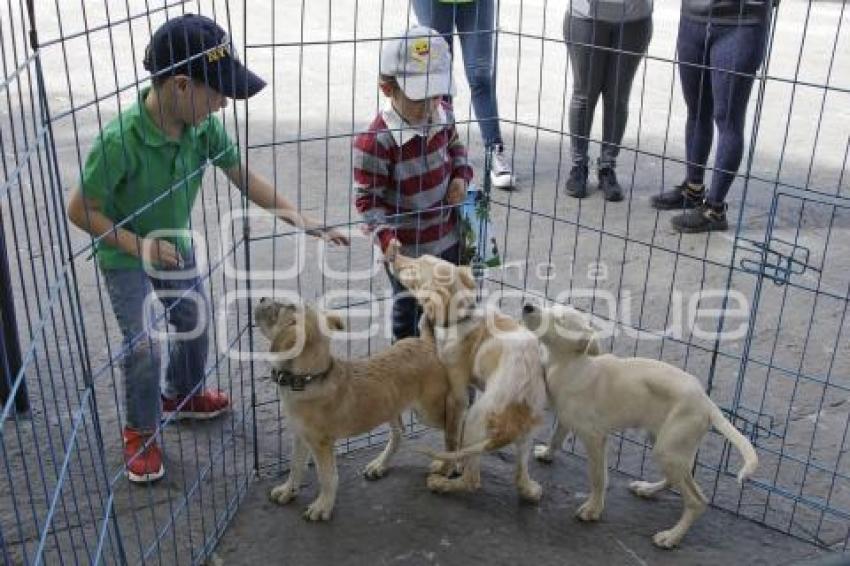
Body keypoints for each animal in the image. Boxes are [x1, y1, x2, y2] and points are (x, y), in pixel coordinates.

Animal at [253, 300, 464, 520]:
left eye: (280, 308)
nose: (261, 299)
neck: (307, 379)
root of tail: (427, 342)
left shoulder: (321, 444)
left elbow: (327, 477)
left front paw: (323, 506)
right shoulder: (301, 436)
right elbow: (295, 466)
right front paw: (288, 491)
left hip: (428, 412)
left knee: (457, 425)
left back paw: (454, 463)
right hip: (390, 405)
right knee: (399, 434)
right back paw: (380, 465)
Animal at [388, 246, 548, 504]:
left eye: (415, 267)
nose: (392, 254)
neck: (460, 317)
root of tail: (511, 425)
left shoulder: (457, 395)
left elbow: (451, 437)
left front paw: (446, 467)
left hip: (476, 418)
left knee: (472, 480)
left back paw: (441, 483)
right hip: (527, 434)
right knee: (520, 477)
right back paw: (530, 489)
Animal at [520, 306, 760, 552]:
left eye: (559, 320)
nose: (528, 306)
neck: (568, 364)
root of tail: (708, 403)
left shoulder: (595, 437)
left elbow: (598, 477)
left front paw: (593, 509)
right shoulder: (566, 418)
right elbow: (556, 438)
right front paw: (547, 454)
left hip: (667, 449)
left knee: (697, 501)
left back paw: (671, 537)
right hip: (667, 444)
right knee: (679, 478)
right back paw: (648, 489)